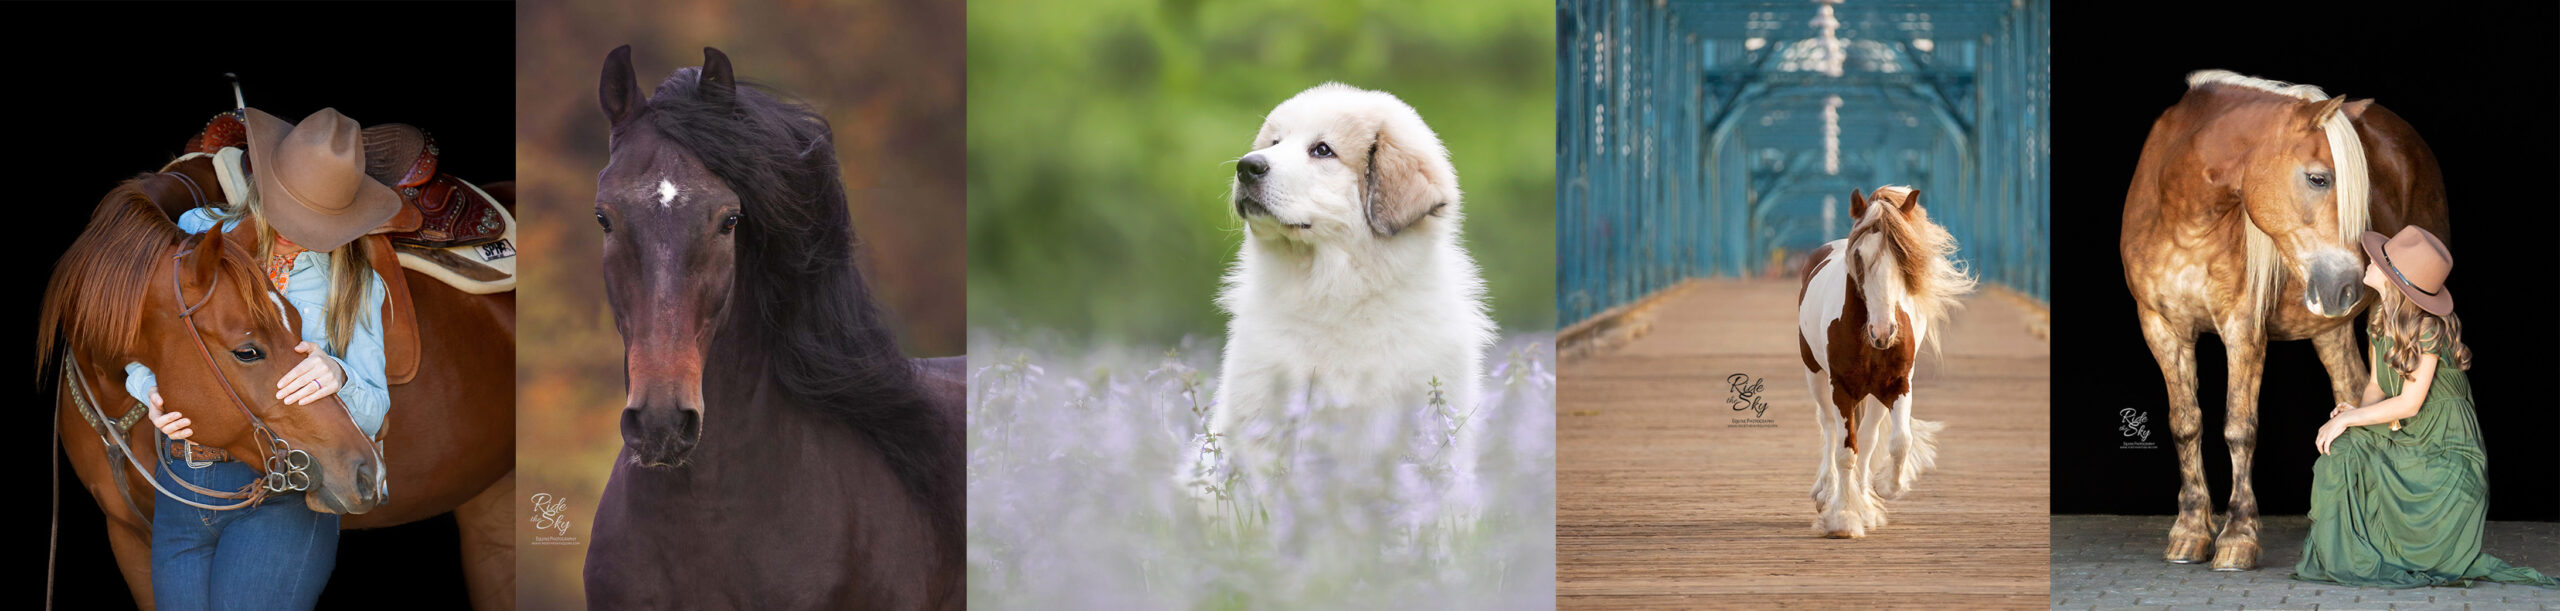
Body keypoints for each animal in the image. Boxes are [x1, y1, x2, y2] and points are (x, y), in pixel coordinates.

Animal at [1792, 186, 1966, 539]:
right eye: (1859, 257)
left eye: (1904, 257)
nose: (1884, 332)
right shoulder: (1841, 389)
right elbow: (1846, 451)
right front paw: (1843, 518)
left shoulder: (1898, 384)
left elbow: (1898, 441)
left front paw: (1884, 488)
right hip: (1815, 376)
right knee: (1828, 427)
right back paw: (1827, 492)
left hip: (1872, 394)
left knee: (1871, 439)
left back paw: (1866, 504)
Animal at [2119, 69, 2457, 570]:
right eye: (2318, 178)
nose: (2349, 285)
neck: (2182, 220)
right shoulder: (2161, 328)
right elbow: (2185, 424)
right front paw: (2190, 532)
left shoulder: (2243, 330)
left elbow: (2239, 428)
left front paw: (2238, 538)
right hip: (2331, 329)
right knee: (2353, 393)